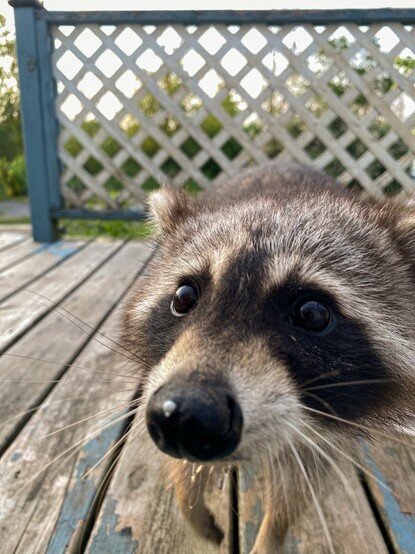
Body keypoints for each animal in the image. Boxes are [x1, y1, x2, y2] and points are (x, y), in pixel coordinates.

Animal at [122, 161, 415, 553]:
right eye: (184, 297)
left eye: (312, 314)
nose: (184, 415)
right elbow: (183, 467)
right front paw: (188, 495)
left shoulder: (324, 420)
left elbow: (296, 486)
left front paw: (270, 535)